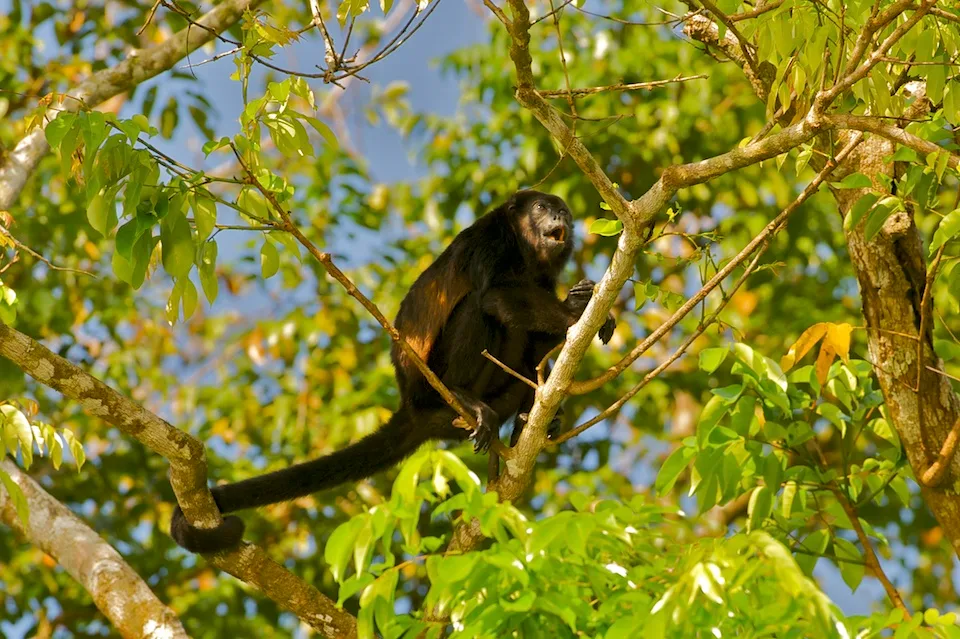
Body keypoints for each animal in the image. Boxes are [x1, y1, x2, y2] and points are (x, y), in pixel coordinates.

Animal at [169, 190, 616, 553]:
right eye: (541, 208)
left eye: (563, 211)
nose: (559, 217)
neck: (525, 251)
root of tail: (411, 405)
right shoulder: (490, 239)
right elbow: (495, 296)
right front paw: (572, 311)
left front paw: (579, 304)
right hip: (431, 386)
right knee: (479, 307)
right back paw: (466, 398)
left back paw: (529, 419)